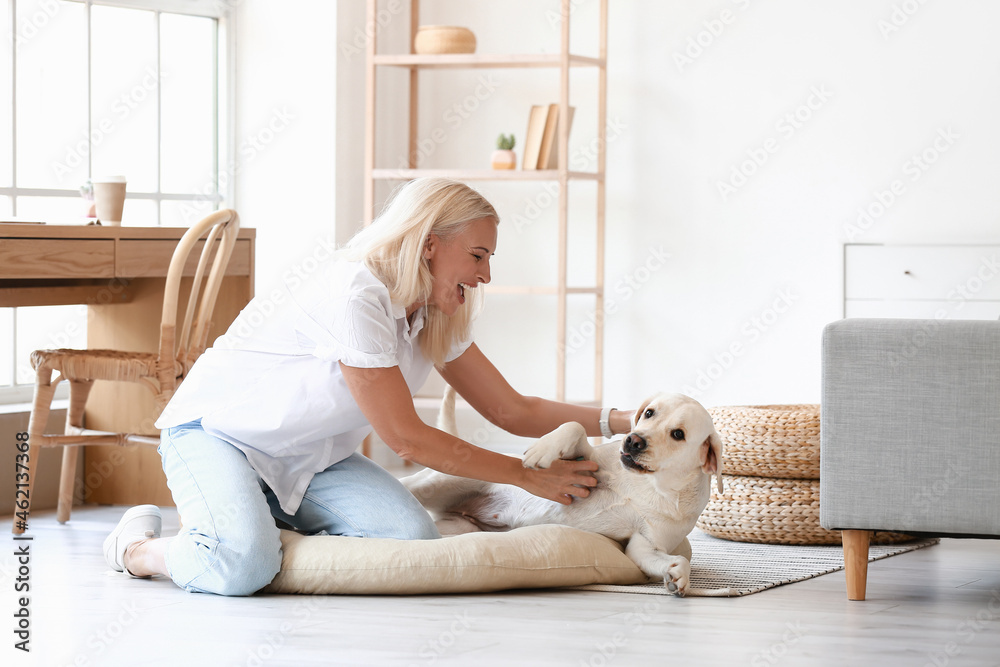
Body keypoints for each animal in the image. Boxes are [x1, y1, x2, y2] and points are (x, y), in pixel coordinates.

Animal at [402, 388, 724, 596]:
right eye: (649, 413)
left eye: (678, 434)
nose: (633, 441)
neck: (648, 485)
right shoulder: (585, 460)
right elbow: (574, 426)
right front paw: (541, 449)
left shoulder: (643, 545)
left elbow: (675, 559)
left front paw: (676, 576)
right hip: (439, 482)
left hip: (456, 528)